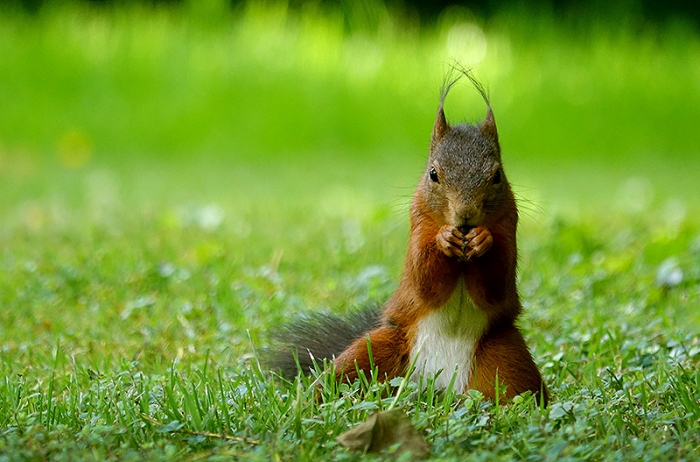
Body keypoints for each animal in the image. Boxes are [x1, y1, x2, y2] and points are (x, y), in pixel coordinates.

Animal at [265, 70, 548, 405]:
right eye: (433, 174)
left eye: (497, 176)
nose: (465, 214)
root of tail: (437, 387)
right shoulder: (418, 224)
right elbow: (424, 280)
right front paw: (443, 239)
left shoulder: (508, 224)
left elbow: (496, 283)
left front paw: (482, 239)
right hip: (374, 352)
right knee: (343, 376)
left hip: (506, 362)